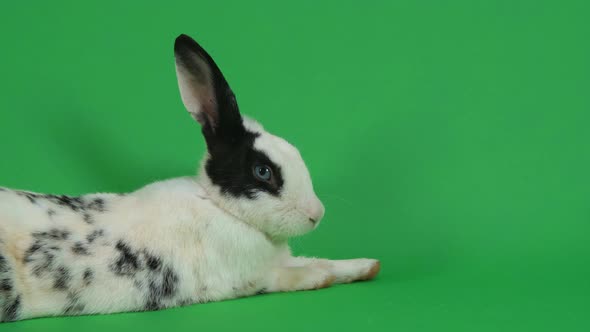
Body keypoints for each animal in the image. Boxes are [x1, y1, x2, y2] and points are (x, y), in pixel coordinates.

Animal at [0, 33, 382, 322]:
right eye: (263, 171)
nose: (316, 214)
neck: (220, 208)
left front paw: (369, 266)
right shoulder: (256, 276)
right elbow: (301, 271)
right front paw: (328, 275)